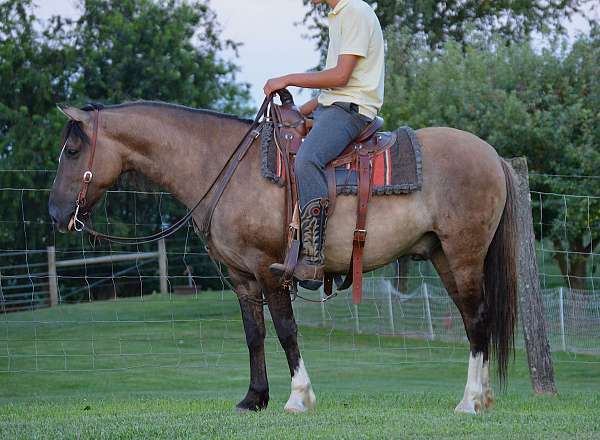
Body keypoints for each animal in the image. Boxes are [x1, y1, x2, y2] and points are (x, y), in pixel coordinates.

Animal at [48, 96, 516, 416]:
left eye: (72, 151)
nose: (54, 214)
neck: (224, 167)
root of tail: (493, 155)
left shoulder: (269, 271)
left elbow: (287, 330)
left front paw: (298, 397)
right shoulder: (241, 277)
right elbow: (254, 335)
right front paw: (254, 398)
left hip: (463, 254)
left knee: (477, 318)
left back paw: (470, 401)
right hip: (444, 256)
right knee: (475, 320)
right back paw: (484, 397)